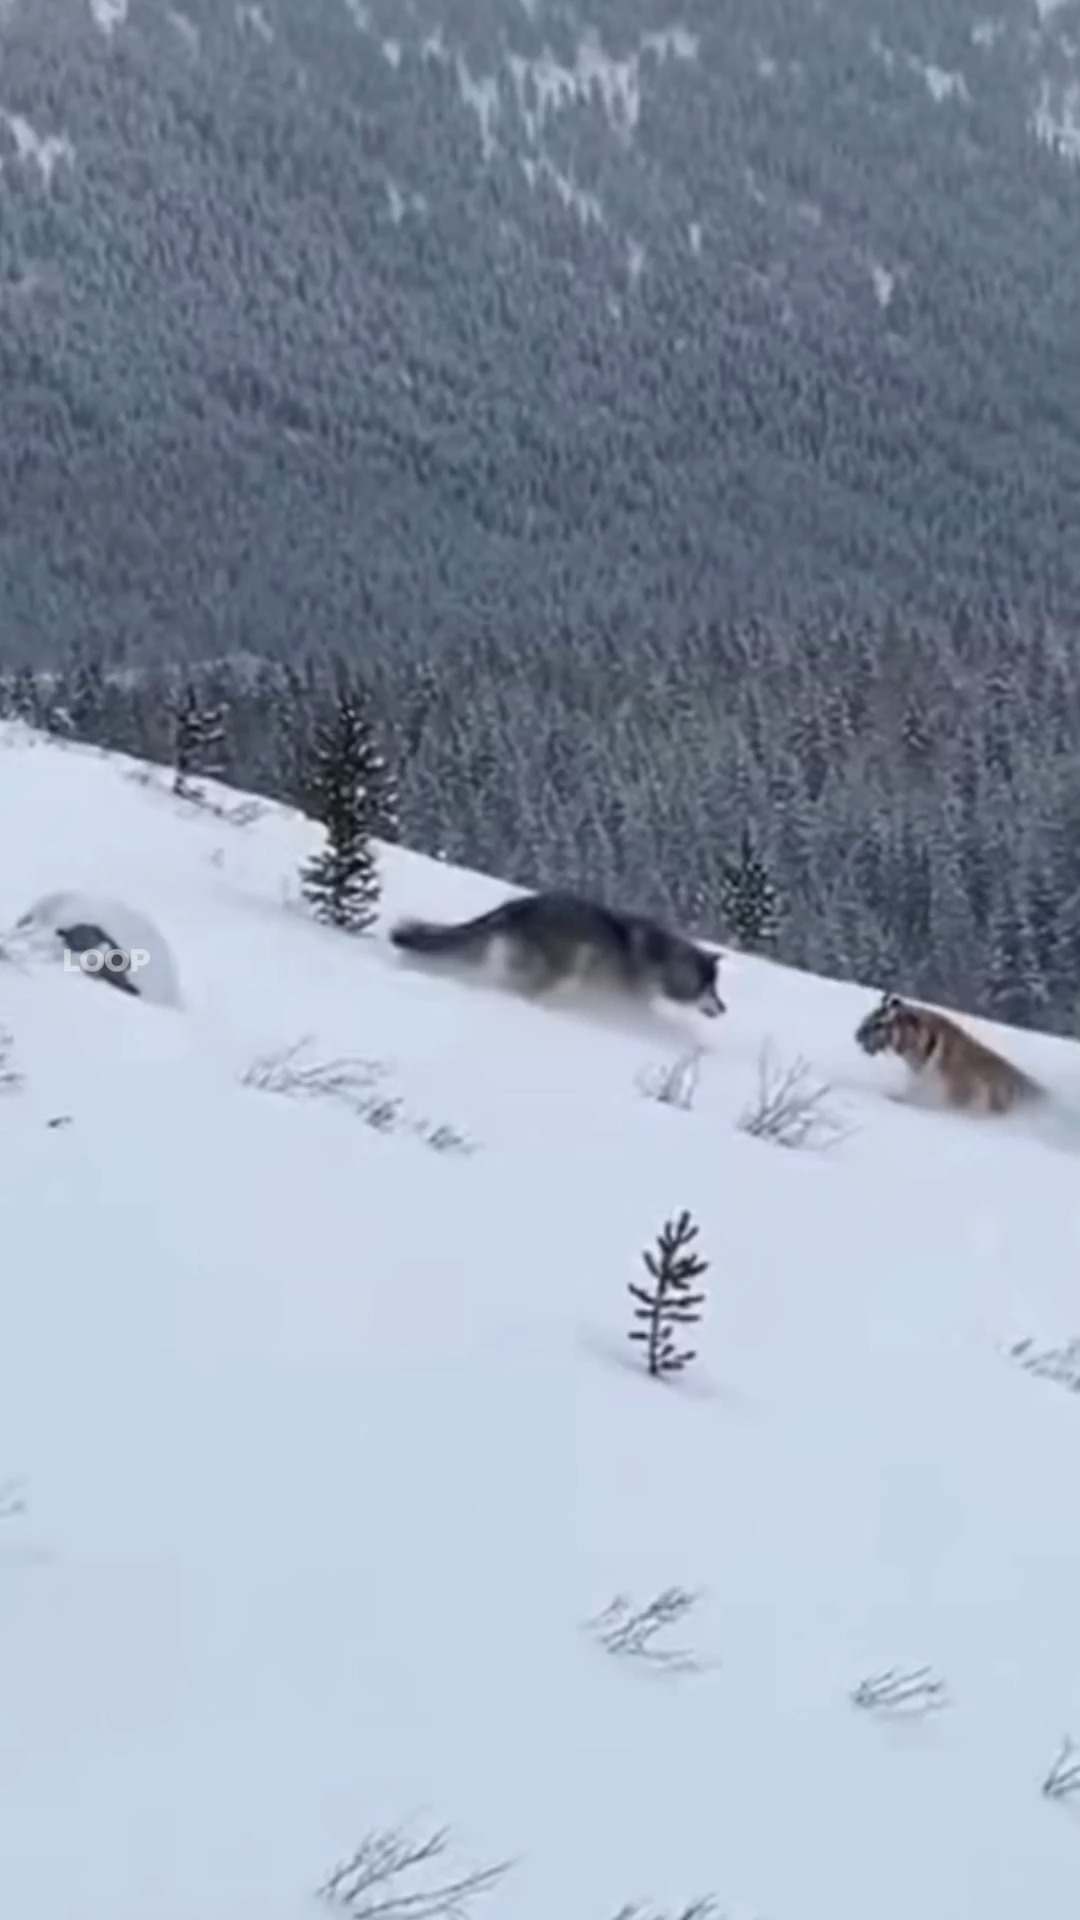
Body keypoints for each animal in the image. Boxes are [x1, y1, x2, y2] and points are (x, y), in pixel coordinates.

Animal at [389, 890, 725, 1017]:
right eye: (708, 987)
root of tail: (519, 904)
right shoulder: (628, 998)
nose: (723, 1008)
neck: (660, 961)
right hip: (568, 962)